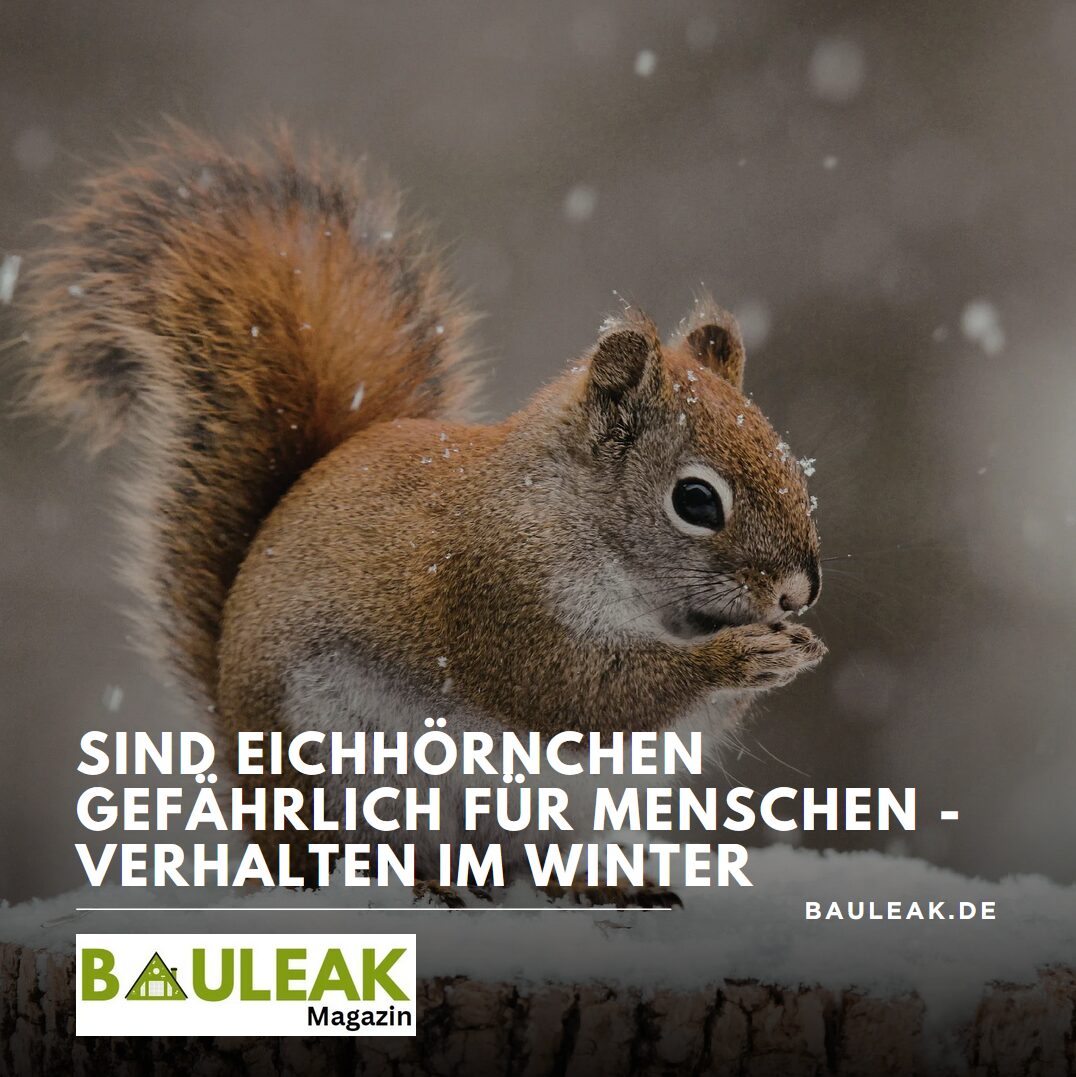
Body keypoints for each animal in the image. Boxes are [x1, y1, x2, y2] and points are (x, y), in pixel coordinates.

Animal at [17, 128, 825, 900]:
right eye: (696, 500)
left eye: (790, 464)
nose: (800, 591)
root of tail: (257, 819)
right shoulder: (496, 596)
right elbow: (583, 693)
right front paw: (742, 655)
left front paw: (796, 646)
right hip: (344, 775)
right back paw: (424, 880)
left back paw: (602, 882)